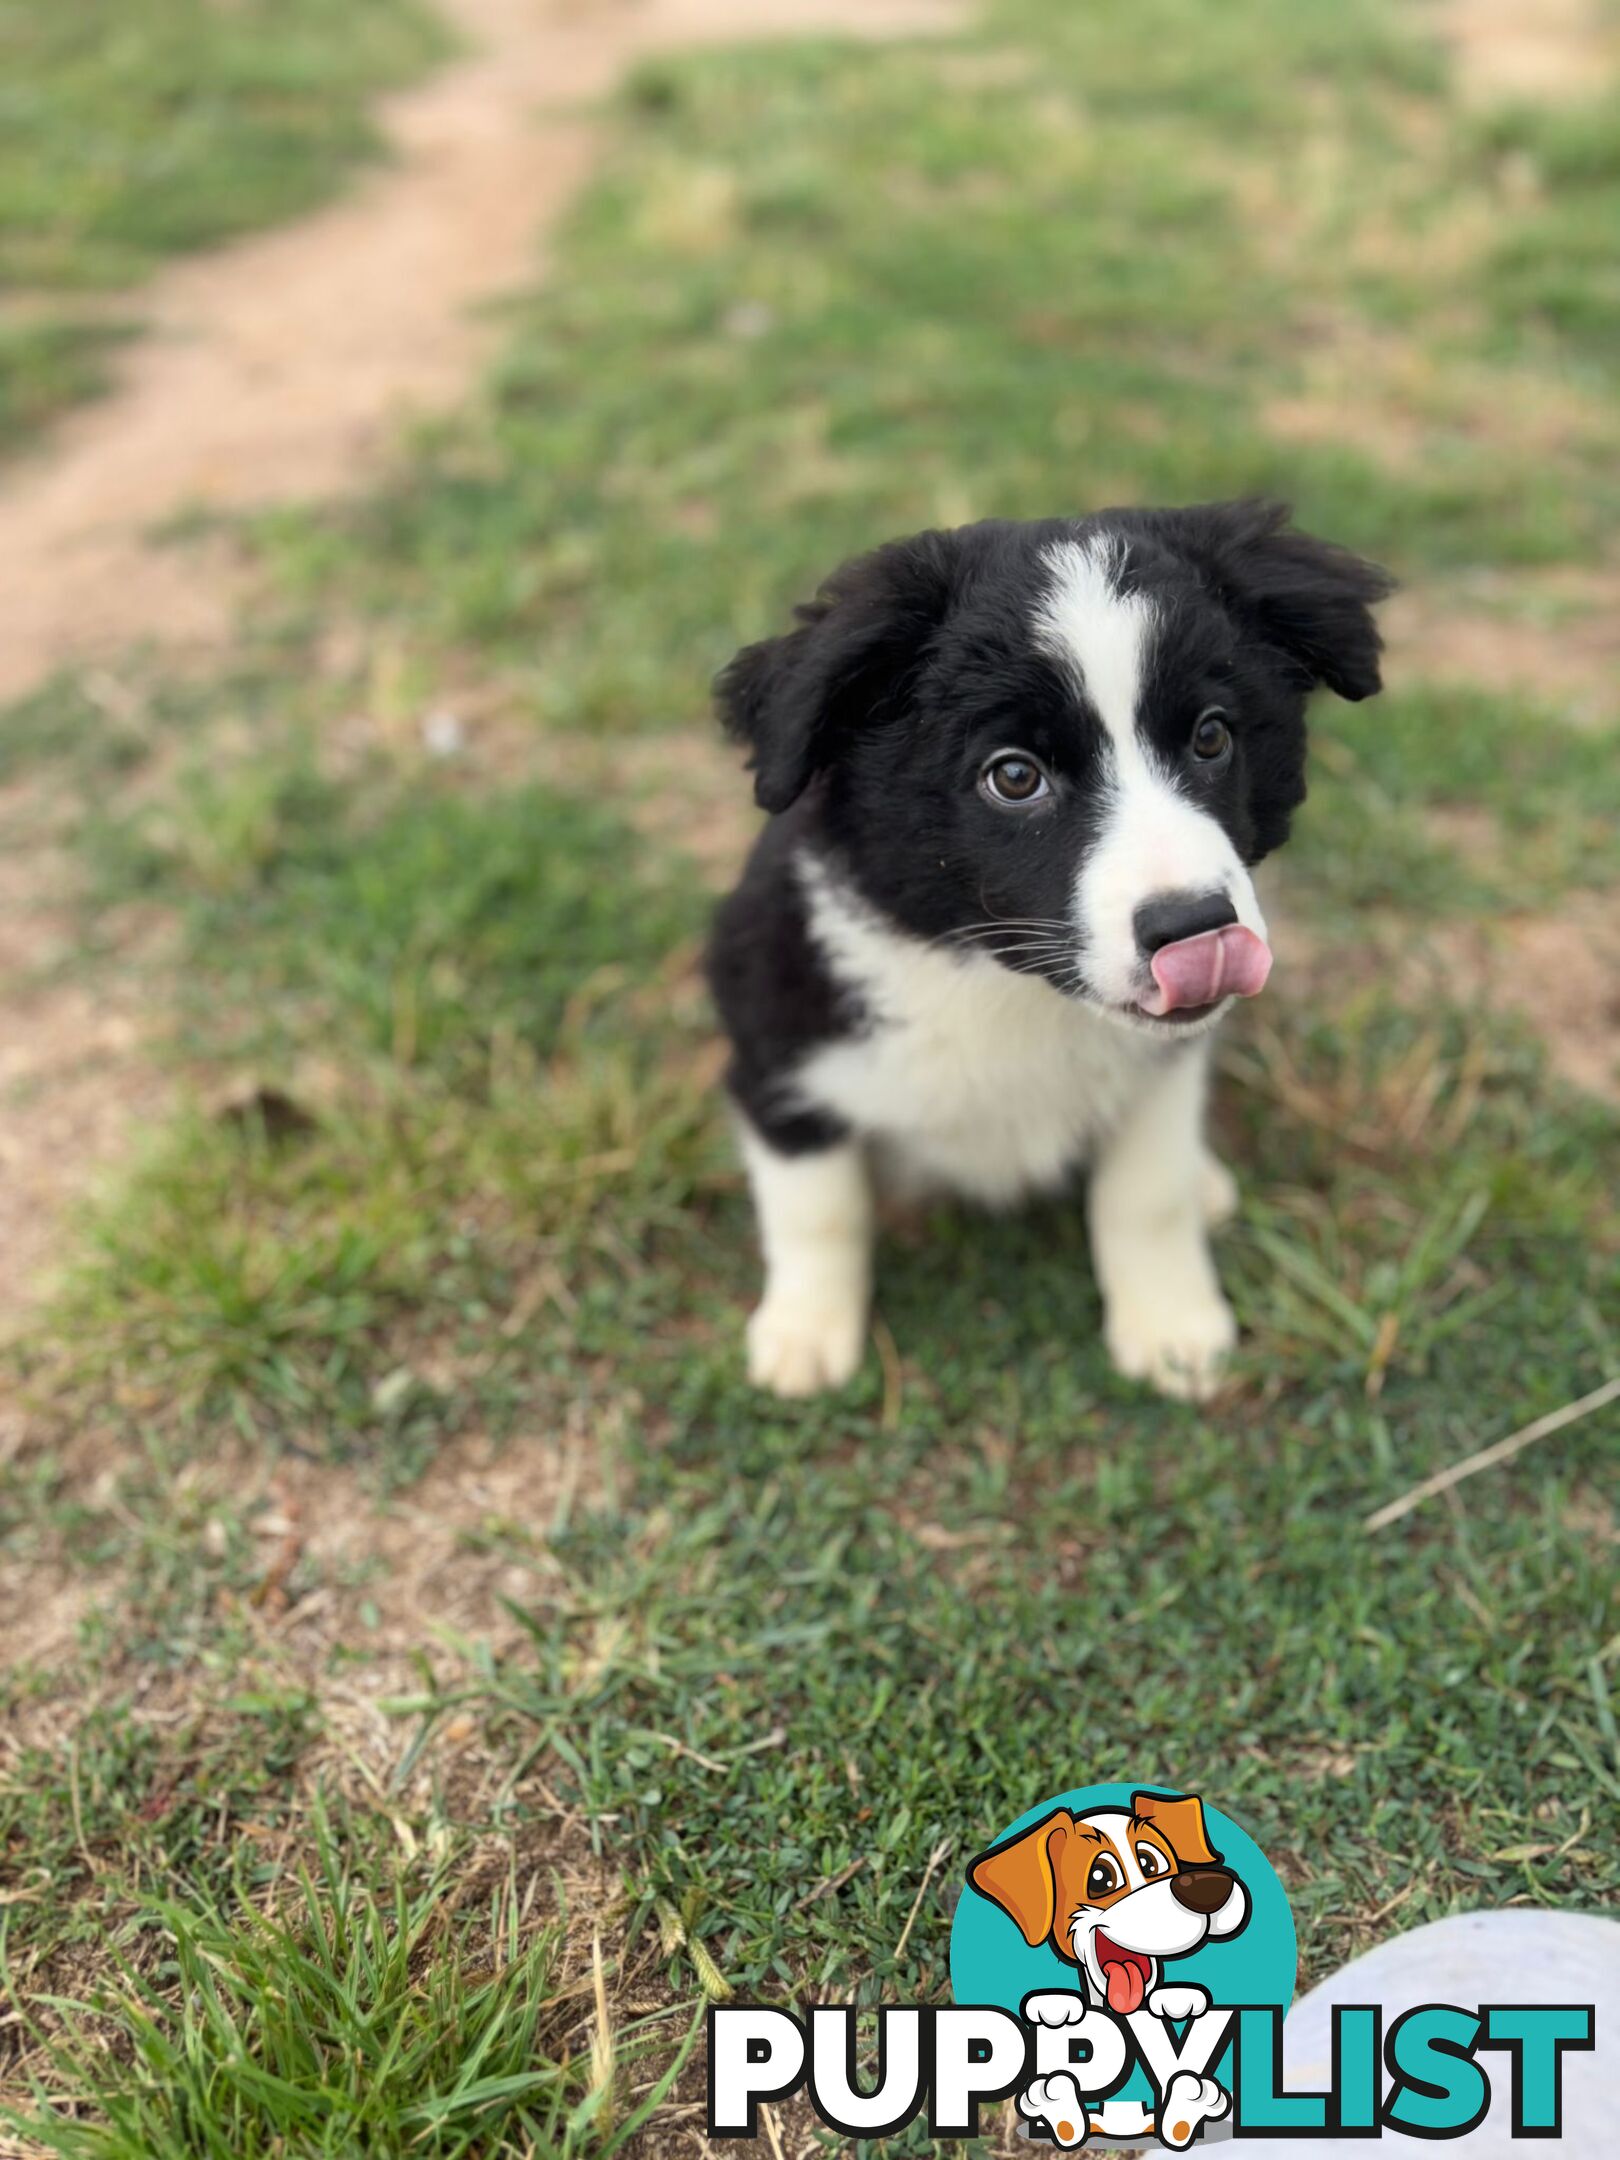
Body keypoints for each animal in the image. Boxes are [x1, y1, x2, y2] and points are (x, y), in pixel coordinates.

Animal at [704, 505, 1391, 1408]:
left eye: (1211, 735)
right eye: (1014, 777)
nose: (1195, 927)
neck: (1000, 981)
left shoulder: (1162, 1069)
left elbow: (1147, 1195)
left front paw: (1171, 1327)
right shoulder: (776, 1042)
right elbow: (817, 1205)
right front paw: (804, 1337)